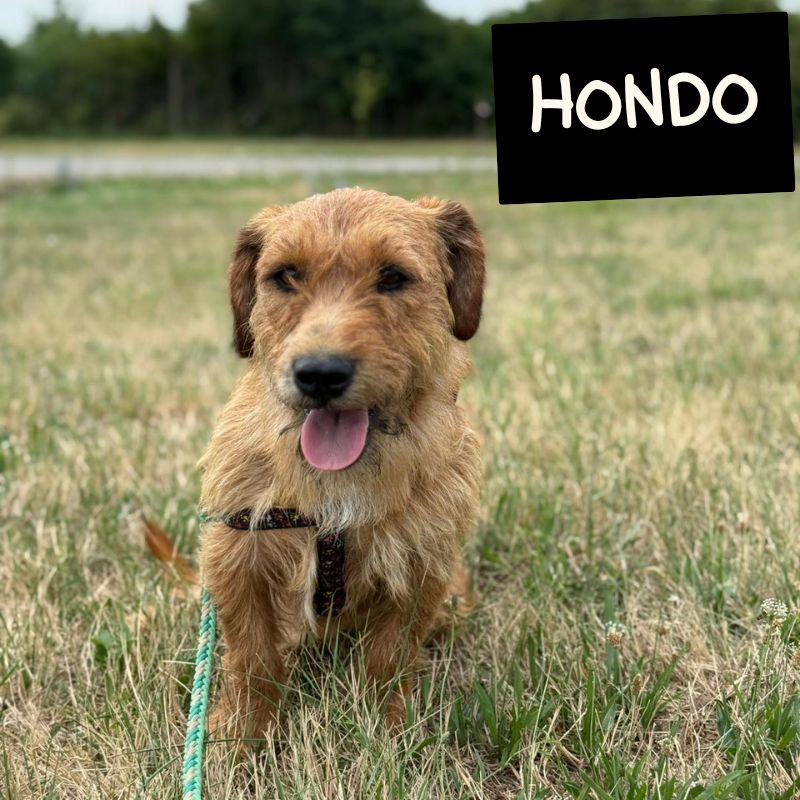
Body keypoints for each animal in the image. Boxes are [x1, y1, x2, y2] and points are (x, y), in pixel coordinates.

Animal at [150, 187, 485, 738]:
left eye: (393, 276)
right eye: (286, 275)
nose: (320, 375)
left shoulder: (421, 565)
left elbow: (389, 658)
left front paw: (386, 730)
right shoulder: (236, 552)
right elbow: (252, 657)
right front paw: (240, 735)